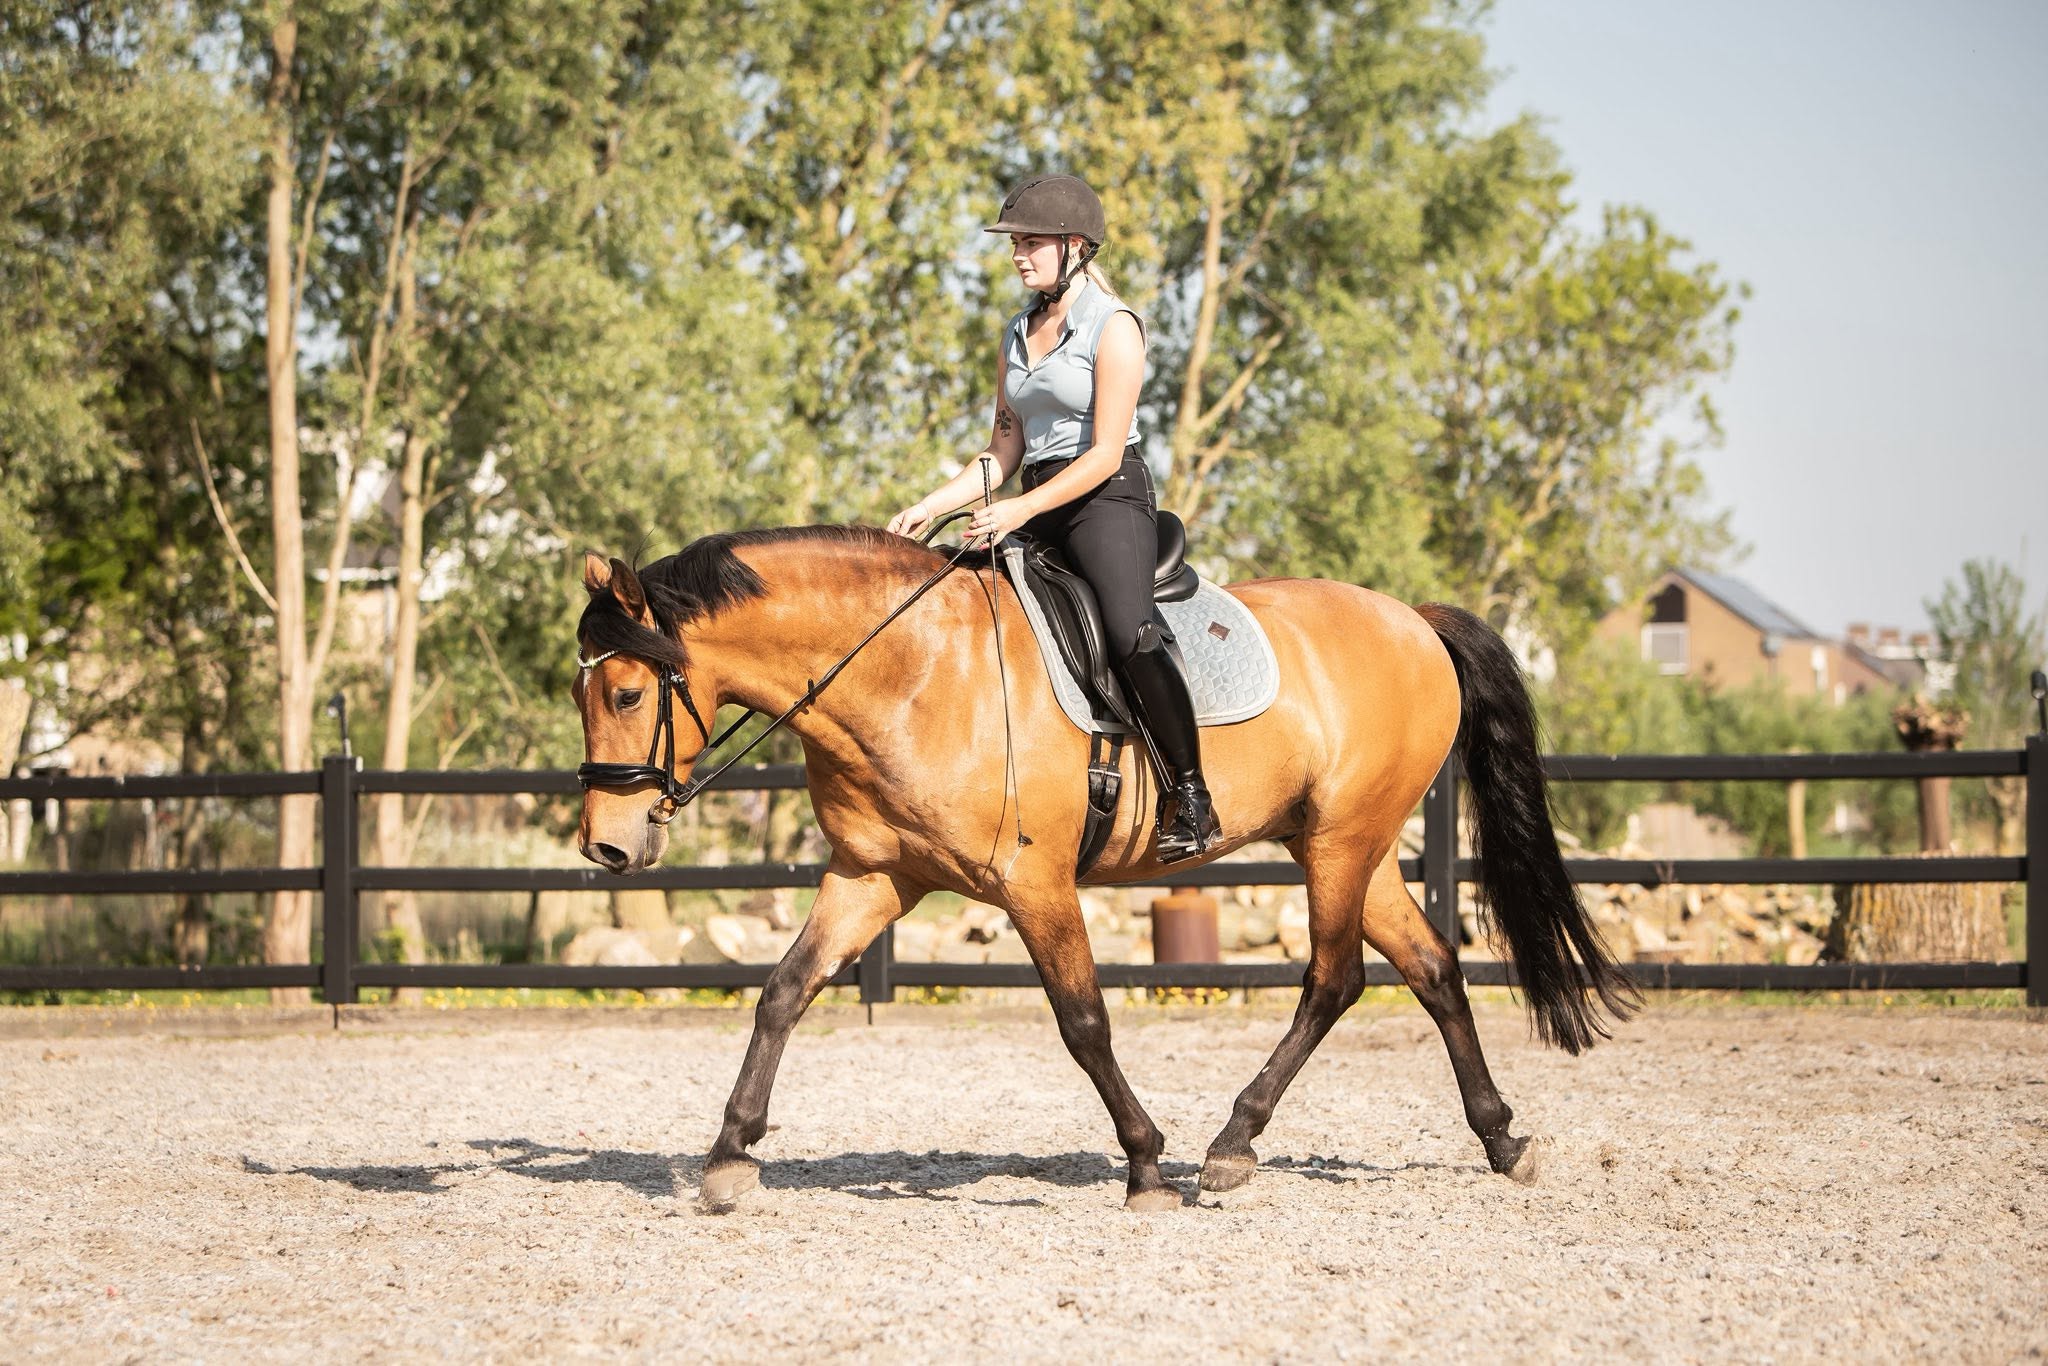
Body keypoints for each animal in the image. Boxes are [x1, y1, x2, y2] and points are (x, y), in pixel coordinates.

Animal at [572, 526, 1636, 1211]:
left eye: (625, 694)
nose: (607, 847)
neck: (912, 670)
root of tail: (1412, 619)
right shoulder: (874, 875)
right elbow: (783, 994)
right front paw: (727, 1155)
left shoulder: (1034, 886)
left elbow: (1084, 1024)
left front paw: (1146, 1166)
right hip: (1350, 849)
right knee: (1431, 968)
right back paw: (1501, 1139)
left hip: (1343, 845)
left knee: (1334, 980)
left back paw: (1229, 1148)